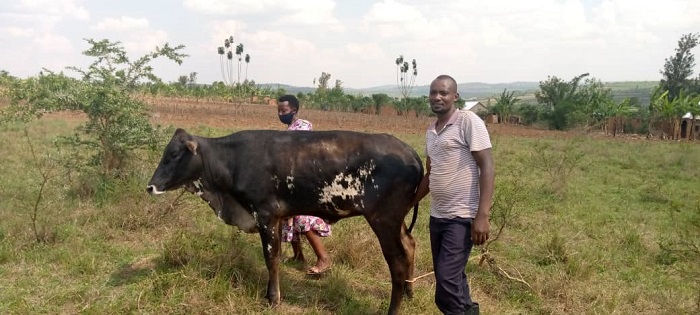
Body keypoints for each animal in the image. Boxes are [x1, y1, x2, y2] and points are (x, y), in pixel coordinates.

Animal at [145, 129, 424, 315]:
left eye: (173, 154)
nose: (150, 186)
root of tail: (411, 153)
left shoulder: (265, 215)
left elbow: (271, 258)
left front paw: (273, 298)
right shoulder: (277, 218)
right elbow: (276, 258)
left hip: (383, 220)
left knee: (397, 262)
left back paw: (394, 308)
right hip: (395, 221)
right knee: (410, 244)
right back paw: (410, 293)